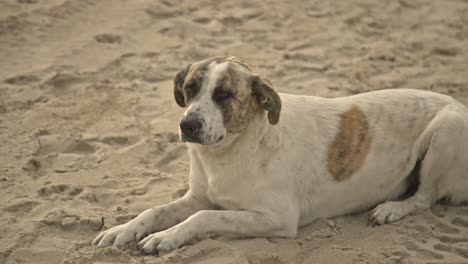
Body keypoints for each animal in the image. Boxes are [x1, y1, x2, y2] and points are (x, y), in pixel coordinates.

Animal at [92, 56, 468, 254]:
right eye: (189, 89)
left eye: (224, 94)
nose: (188, 125)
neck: (232, 151)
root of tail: (457, 103)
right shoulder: (199, 196)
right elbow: (154, 210)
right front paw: (123, 230)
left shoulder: (277, 218)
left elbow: (203, 217)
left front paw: (166, 237)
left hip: (447, 130)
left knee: (423, 198)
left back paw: (392, 209)